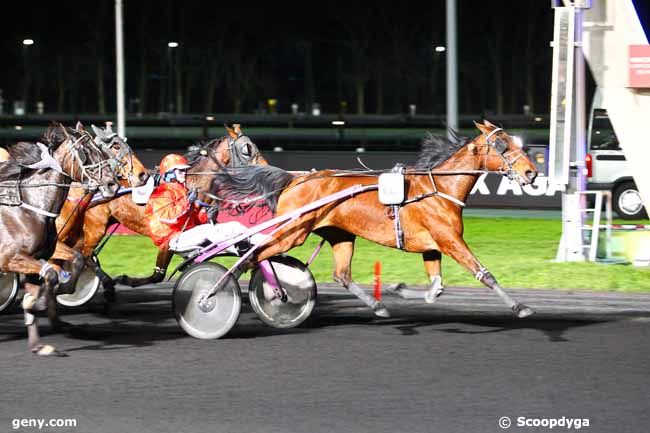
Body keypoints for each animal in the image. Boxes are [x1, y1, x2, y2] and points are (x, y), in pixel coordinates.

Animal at [0, 122, 120, 354]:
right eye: (85, 153)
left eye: (99, 149)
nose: (112, 184)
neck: (30, 207)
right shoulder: (10, 258)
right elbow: (51, 275)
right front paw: (42, 302)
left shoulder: (38, 257)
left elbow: (68, 265)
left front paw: (38, 343)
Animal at [58, 123, 266, 296]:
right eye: (247, 149)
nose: (267, 169)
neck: (191, 182)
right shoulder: (169, 238)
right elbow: (159, 274)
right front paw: (125, 279)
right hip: (96, 227)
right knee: (85, 256)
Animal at [213, 120, 536, 318]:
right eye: (503, 145)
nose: (531, 172)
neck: (439, 189)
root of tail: (295, 180)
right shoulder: (450, 240)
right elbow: (484, 274)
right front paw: (520, 307)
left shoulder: (432, 246)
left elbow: (436, 289)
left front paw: (398, 290)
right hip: (292, 232)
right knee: (254, 256)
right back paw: (220, 290)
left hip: (339, 234)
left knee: (341, 274)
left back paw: (378, 306)